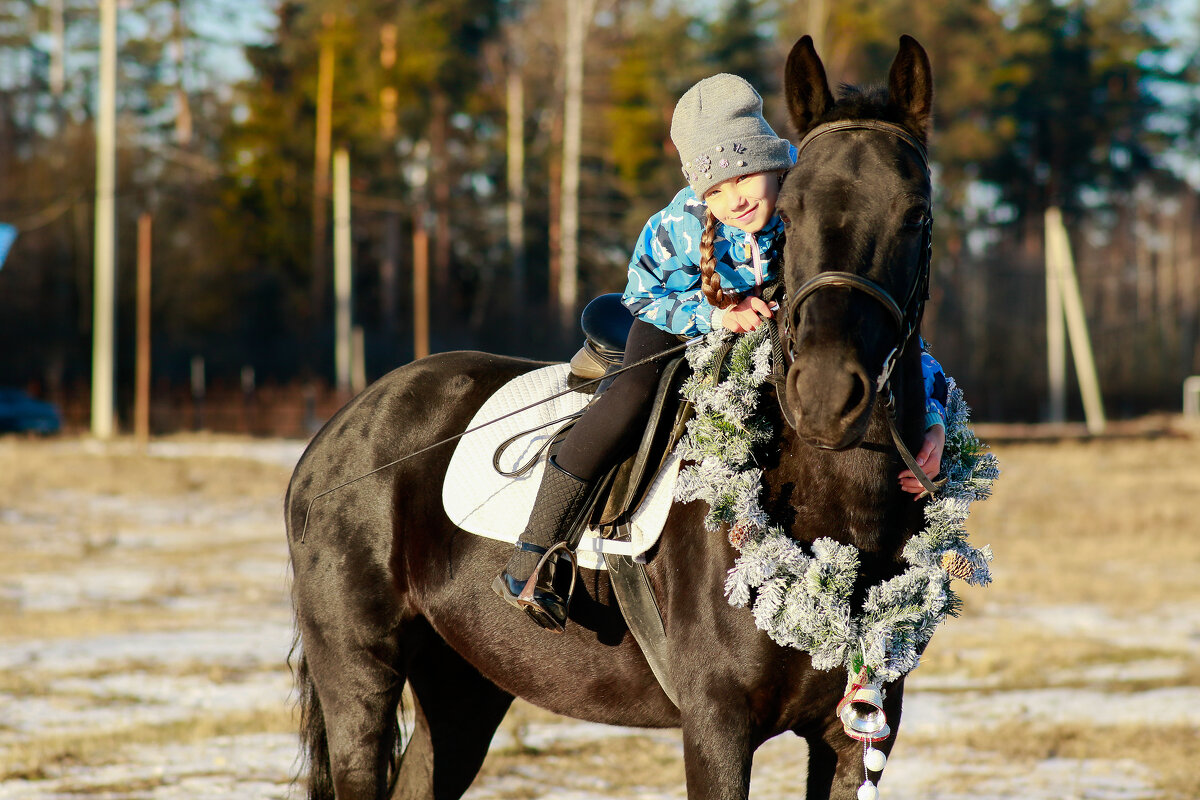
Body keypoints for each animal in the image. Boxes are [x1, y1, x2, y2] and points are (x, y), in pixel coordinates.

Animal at [288, 34, 936, 800]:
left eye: (916, 213)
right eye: (794, 213)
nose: (829, 392)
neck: (828, 523)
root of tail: (337, 435)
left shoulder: (857, 732)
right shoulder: (716, 726)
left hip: (464, 685)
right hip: (359, 677)